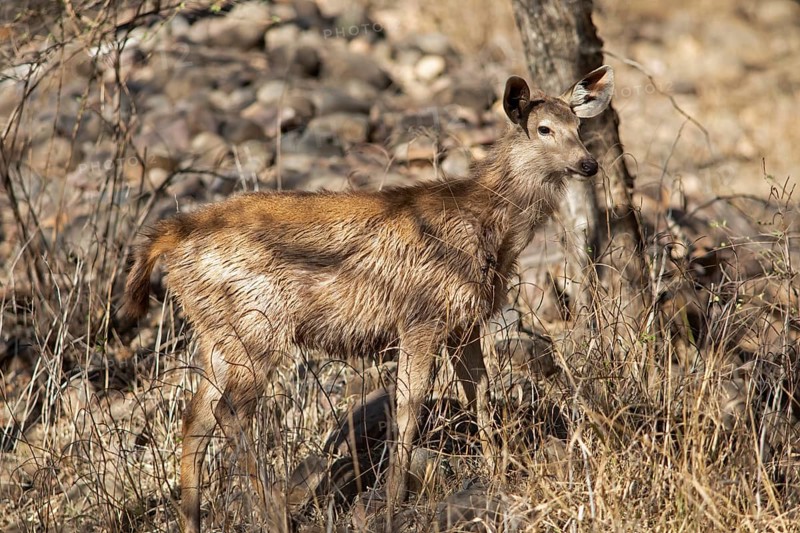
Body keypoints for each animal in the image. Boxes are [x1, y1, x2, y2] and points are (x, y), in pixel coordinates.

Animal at [123, 65, 614, 533]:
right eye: (544, 129)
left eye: (578, 125)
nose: (588, 164)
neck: (487, 224)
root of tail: (170, 237)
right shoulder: (421, 315)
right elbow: (408, 407)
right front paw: (394, 503)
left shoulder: (464, 323)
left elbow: (480, 396)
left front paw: (498, 473)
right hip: (256, 324)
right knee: (230, 413)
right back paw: (276, 516)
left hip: (218, 334)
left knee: (195, 420)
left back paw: (195, 521)